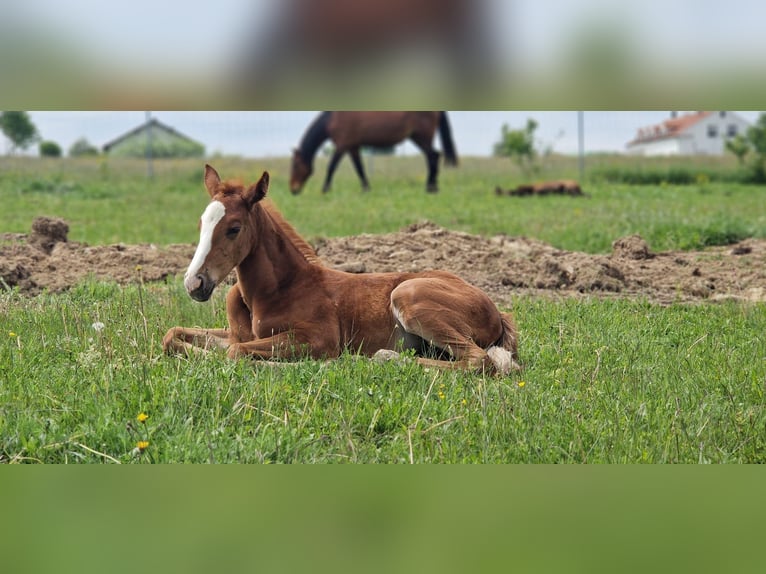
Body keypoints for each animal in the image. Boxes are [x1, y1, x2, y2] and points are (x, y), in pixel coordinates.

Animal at [163, 165, 519, 376]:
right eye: (201, 224)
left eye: (234, 228)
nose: (194, 283)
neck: (277, 289)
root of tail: (497, 310)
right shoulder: (239, 333)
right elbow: (173, 335)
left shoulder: (319, 339)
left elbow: (235, 352)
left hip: (407, 294)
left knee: (478, 360)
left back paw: (380, 357)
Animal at [289, 111, 458, 194]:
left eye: (296, 166)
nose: (293, 189)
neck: (332, 119)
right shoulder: (353, 147)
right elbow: (360, 169)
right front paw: (366, 189)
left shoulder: (342, 145)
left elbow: (331, 167)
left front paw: (325, 189)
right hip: (418, 138)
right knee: (433, 156)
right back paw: (433, 187)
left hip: (422, 138)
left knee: (433, 156)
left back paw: (430, 188)